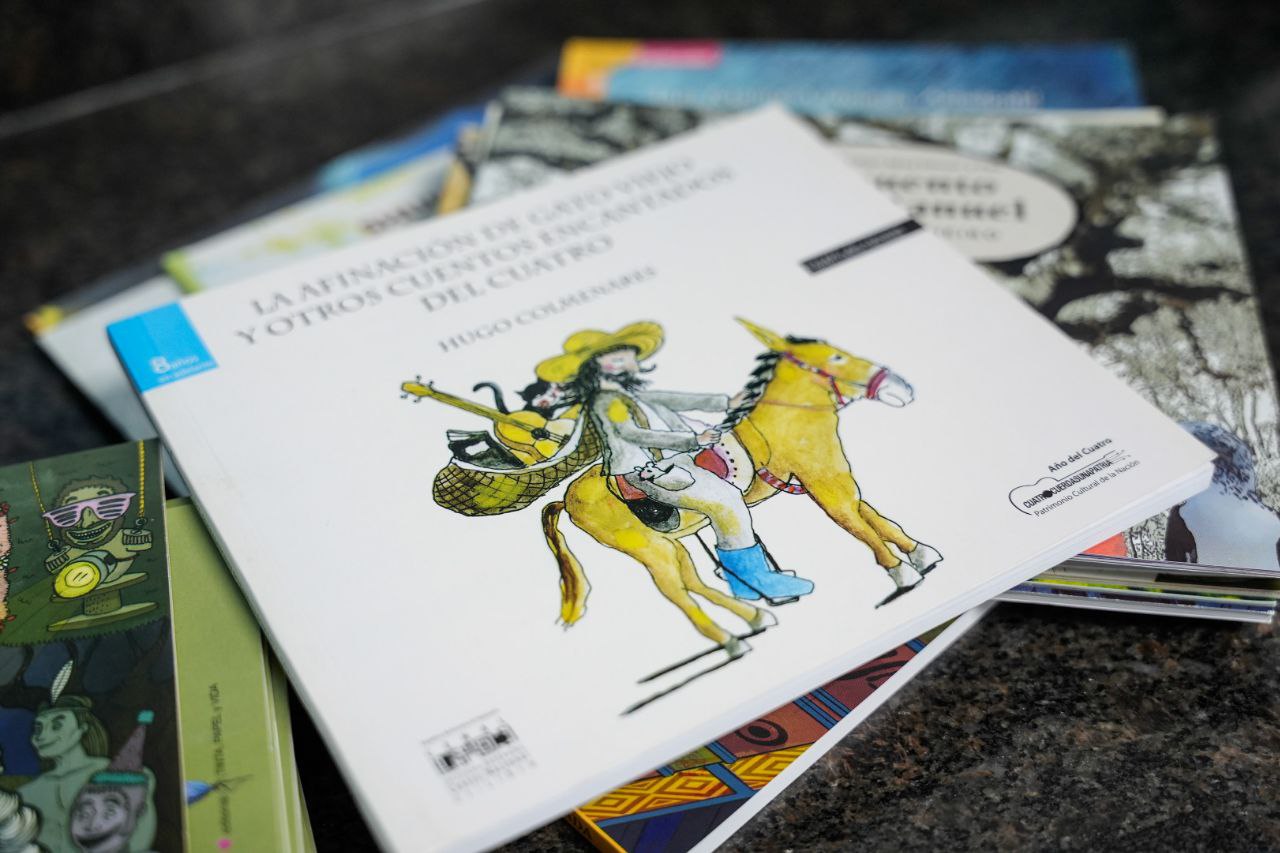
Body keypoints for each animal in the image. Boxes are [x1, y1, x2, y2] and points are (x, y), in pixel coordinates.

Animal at [541, 318, 943, 658]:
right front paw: (900, 571)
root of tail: (565, 498)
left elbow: (873, 515)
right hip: (651, 548)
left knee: (694, 583)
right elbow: (854, 521)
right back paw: (733, 639)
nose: (902, 388)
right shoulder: (822, 480)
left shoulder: (832, 474)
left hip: (668, 544)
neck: (783, 420)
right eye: (837, 357)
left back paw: (755, 616)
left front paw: (921, 554)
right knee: (678, 594)